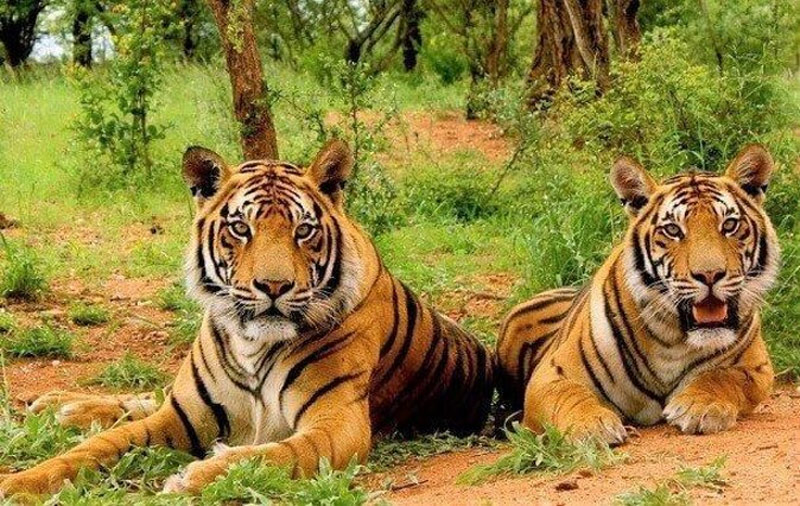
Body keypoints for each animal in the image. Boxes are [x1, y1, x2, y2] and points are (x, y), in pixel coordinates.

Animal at [0, 140, 494, 498]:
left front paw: (196, 476)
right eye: (241, 228)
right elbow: (99, 446)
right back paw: (62, 404)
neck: (252, 344)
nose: (273, 286)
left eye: (303, 231)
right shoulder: (181, 415)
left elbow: (272, 454)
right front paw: (19, 482)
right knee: (147, 397)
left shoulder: (339, 423)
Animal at [496, 144, 779, 444]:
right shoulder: (552, 373)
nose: (710, 274)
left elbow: (722, 376)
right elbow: (570, 396)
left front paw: (700, 406)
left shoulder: (757, 368)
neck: (672, 338)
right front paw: (591, 425)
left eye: (729, 225)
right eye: (673, 230)